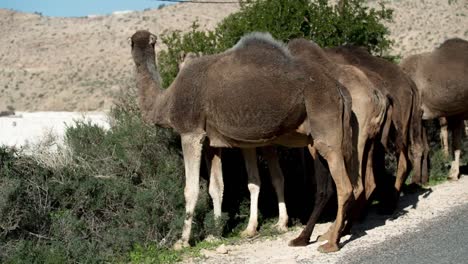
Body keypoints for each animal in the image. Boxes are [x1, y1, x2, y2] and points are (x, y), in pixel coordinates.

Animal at [130, 29, 352, 253]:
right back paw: (318, 236)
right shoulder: (210, 142)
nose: (139, 42)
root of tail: (339, 87)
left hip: (323, 115)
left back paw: (330, 243)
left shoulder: (190, 132)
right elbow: (217, 187)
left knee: (344, 184)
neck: (165, 101)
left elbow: (190, 190)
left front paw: (182, 241)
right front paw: (215, 233)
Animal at [288, 38, 390, 245]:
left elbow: (323, 189)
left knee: (354, 185)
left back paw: (334, 234)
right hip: (370, 139)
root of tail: (378, 96)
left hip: (354, 138)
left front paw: (302, 237)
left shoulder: (316, 143)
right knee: (368, 182)